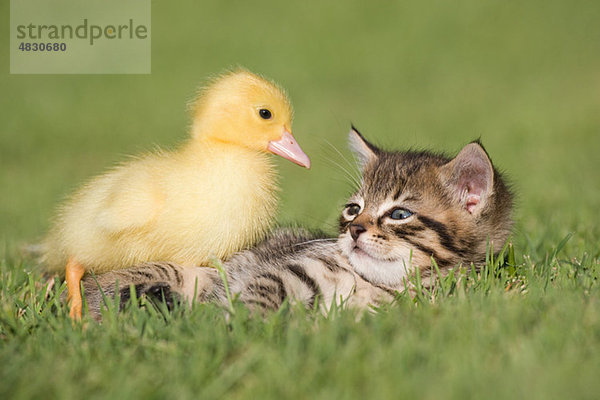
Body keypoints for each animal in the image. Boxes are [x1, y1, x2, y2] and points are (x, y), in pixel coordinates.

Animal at [81, 128, 510, 318]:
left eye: (399, 214)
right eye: (353, 209)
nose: (354, 230)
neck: (374, 283)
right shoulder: (290, 269)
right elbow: (261, 297)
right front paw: (245, 326)